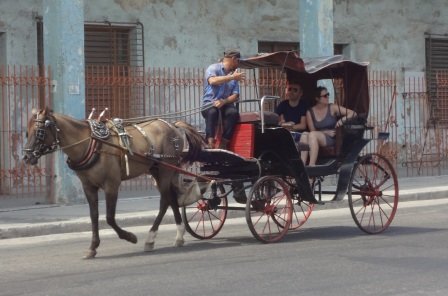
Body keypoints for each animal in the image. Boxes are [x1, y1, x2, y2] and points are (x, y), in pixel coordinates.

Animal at [22, 107, 205, 260]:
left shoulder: (112, 185)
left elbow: (109, 218)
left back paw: (151, 238)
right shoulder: (88, 187)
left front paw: (130, 237)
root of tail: (174, 126)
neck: (89, 143)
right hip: (157, 170)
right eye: (27, 132)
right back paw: (178, 235)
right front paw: (92, 247)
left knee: (165, 200)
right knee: (171, 198)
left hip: (166, 169)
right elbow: (94, 216)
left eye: (39, 132)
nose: (26, 156)